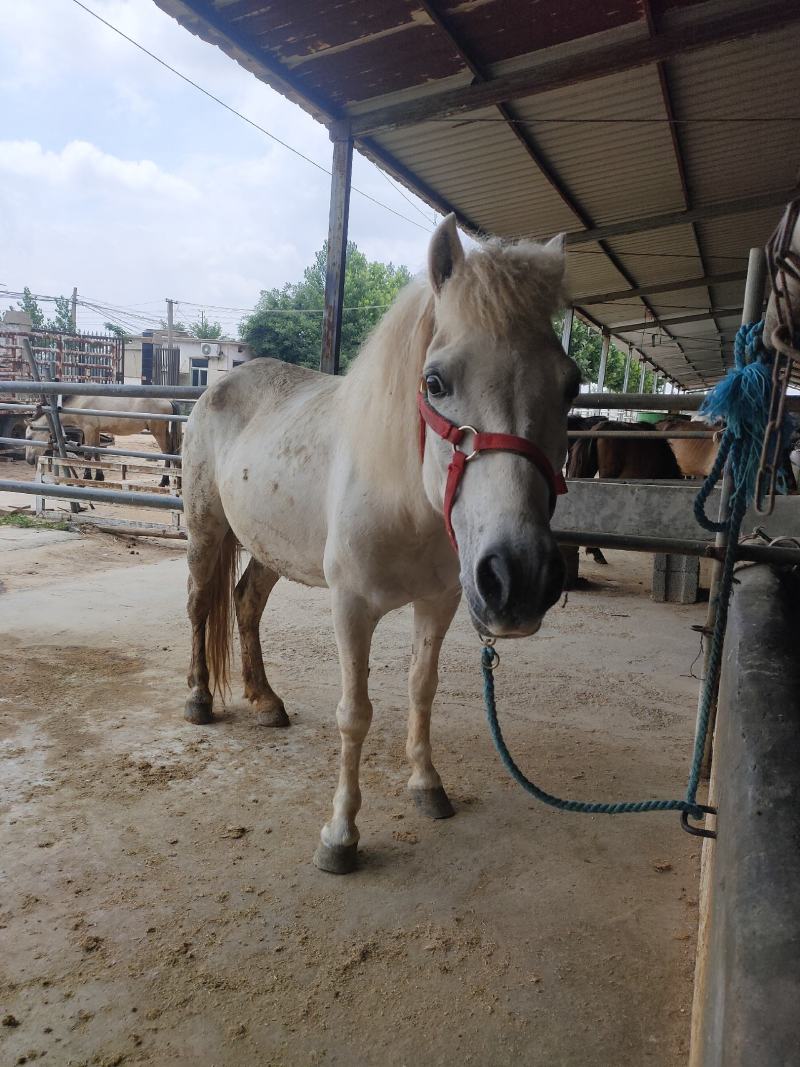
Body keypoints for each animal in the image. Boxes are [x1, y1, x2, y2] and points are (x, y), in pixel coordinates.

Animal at [25, 396, 181, 486]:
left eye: (29, 437)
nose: (29, 460)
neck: (80, 403)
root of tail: (168, 401)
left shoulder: (88, 429)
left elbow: (88, 454)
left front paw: (87, 477)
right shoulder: (96, 431)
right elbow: (96, 453)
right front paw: (99, 476)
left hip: (158, 431)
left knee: (167, 452)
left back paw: (163, 481)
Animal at [181, 215, 579, 874]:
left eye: (571, 387)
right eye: (435, 381)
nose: (519, 578)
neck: (405, 496)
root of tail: (218, 386)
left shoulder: (440, 603)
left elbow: (422, 689)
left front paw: (427, 786)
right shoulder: (351, 607)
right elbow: (356, 713)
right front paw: (340, 835)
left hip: (270, 548)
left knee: (244, 603)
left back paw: (265, 702)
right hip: (205, 529)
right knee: (196, 607)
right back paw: (198, 700)